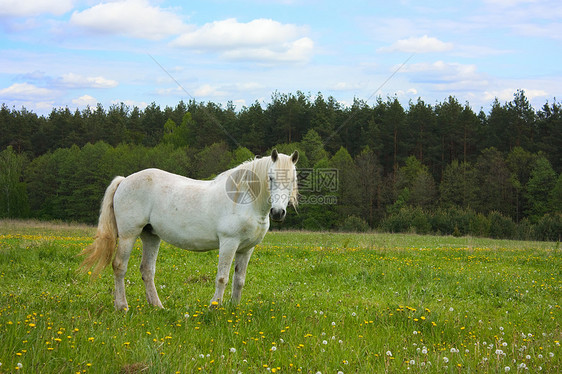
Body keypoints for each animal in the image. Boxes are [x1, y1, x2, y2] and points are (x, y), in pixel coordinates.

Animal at [80, 149, 298, 310]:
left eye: (293, 180)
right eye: (271, 178)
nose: (278, 213)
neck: (243, 199)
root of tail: (124, 180)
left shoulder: (246, 249)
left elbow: (239, 280)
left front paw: (233, 309)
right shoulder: (228, 243)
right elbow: (222, 278)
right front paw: (214, 307)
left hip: (151, 236)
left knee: (147, 270)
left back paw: (157, 306)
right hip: (128, 235)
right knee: (119, 266)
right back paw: (122, 307)